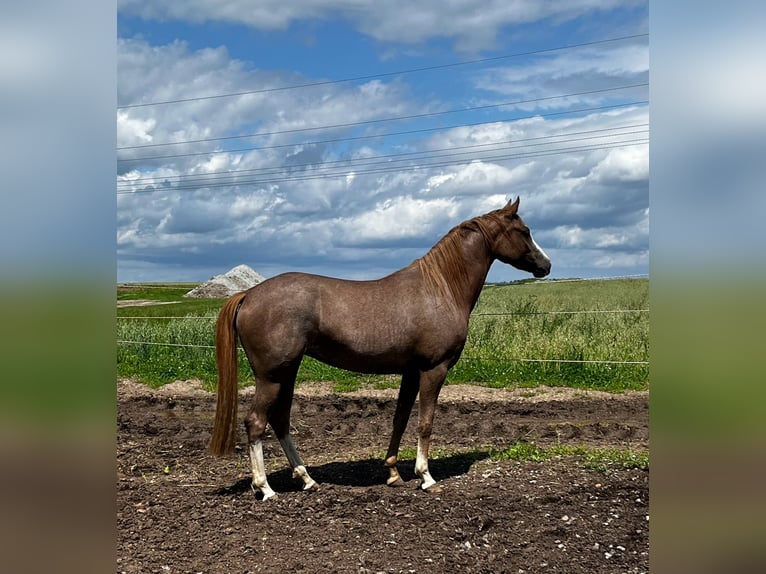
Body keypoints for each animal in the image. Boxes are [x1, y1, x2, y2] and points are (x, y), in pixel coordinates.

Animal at [210, 197, 552, 500]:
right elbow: (425, 422)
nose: (546, 265)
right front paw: (426, 477)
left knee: (280, 420)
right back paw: (265, 488)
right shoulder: (434, 369)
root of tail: (249, 294)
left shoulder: (411, 372)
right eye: (524, 231)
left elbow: (400, 419)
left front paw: (393, 473)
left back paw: (308, 480)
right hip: (271, 376)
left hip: (287, 373)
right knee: (256, 422)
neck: (440, 289)